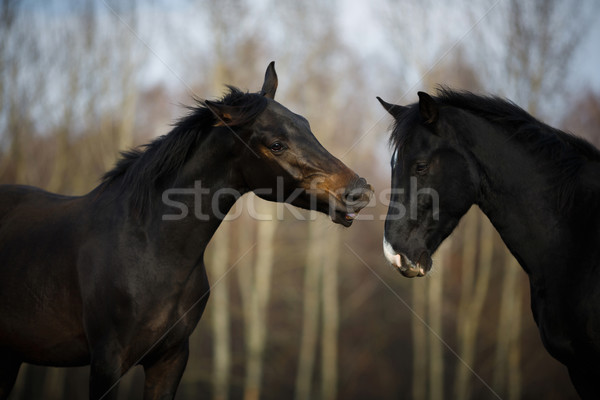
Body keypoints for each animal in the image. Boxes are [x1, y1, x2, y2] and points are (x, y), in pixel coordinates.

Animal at [0, 63, 372, 400]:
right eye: (277, 144)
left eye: (306, 125)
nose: (360, 191)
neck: (150, 250)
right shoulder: (106, 364)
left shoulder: (171, 359)